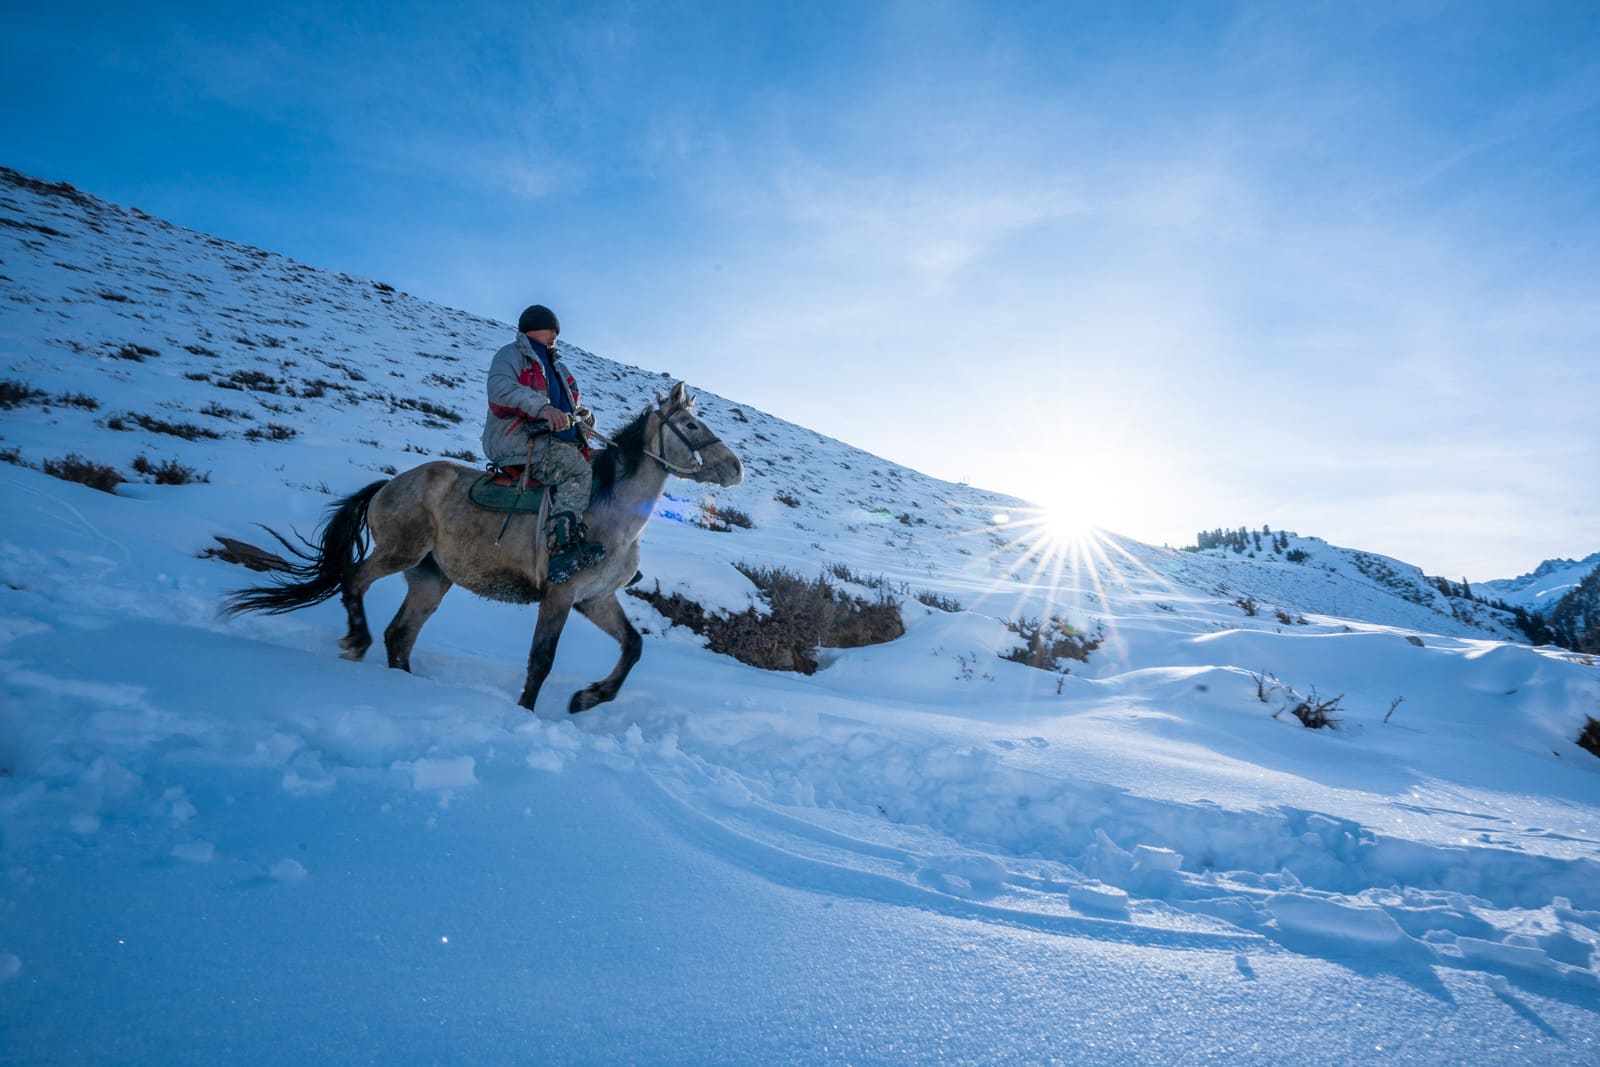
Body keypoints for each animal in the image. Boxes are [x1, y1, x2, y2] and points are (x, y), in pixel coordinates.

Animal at [224, 379, 742, 713]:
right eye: (691, 427)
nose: (735, 468)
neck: (611, 513)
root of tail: (389, 485)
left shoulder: (594, 598)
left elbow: (633, 646)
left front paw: (587, 698)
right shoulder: (559, 595)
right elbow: (541, 660)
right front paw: (527, 712)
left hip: (431, 577)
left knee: (400, 635)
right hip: (400, 553)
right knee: (356, 583)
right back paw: (356, 642)